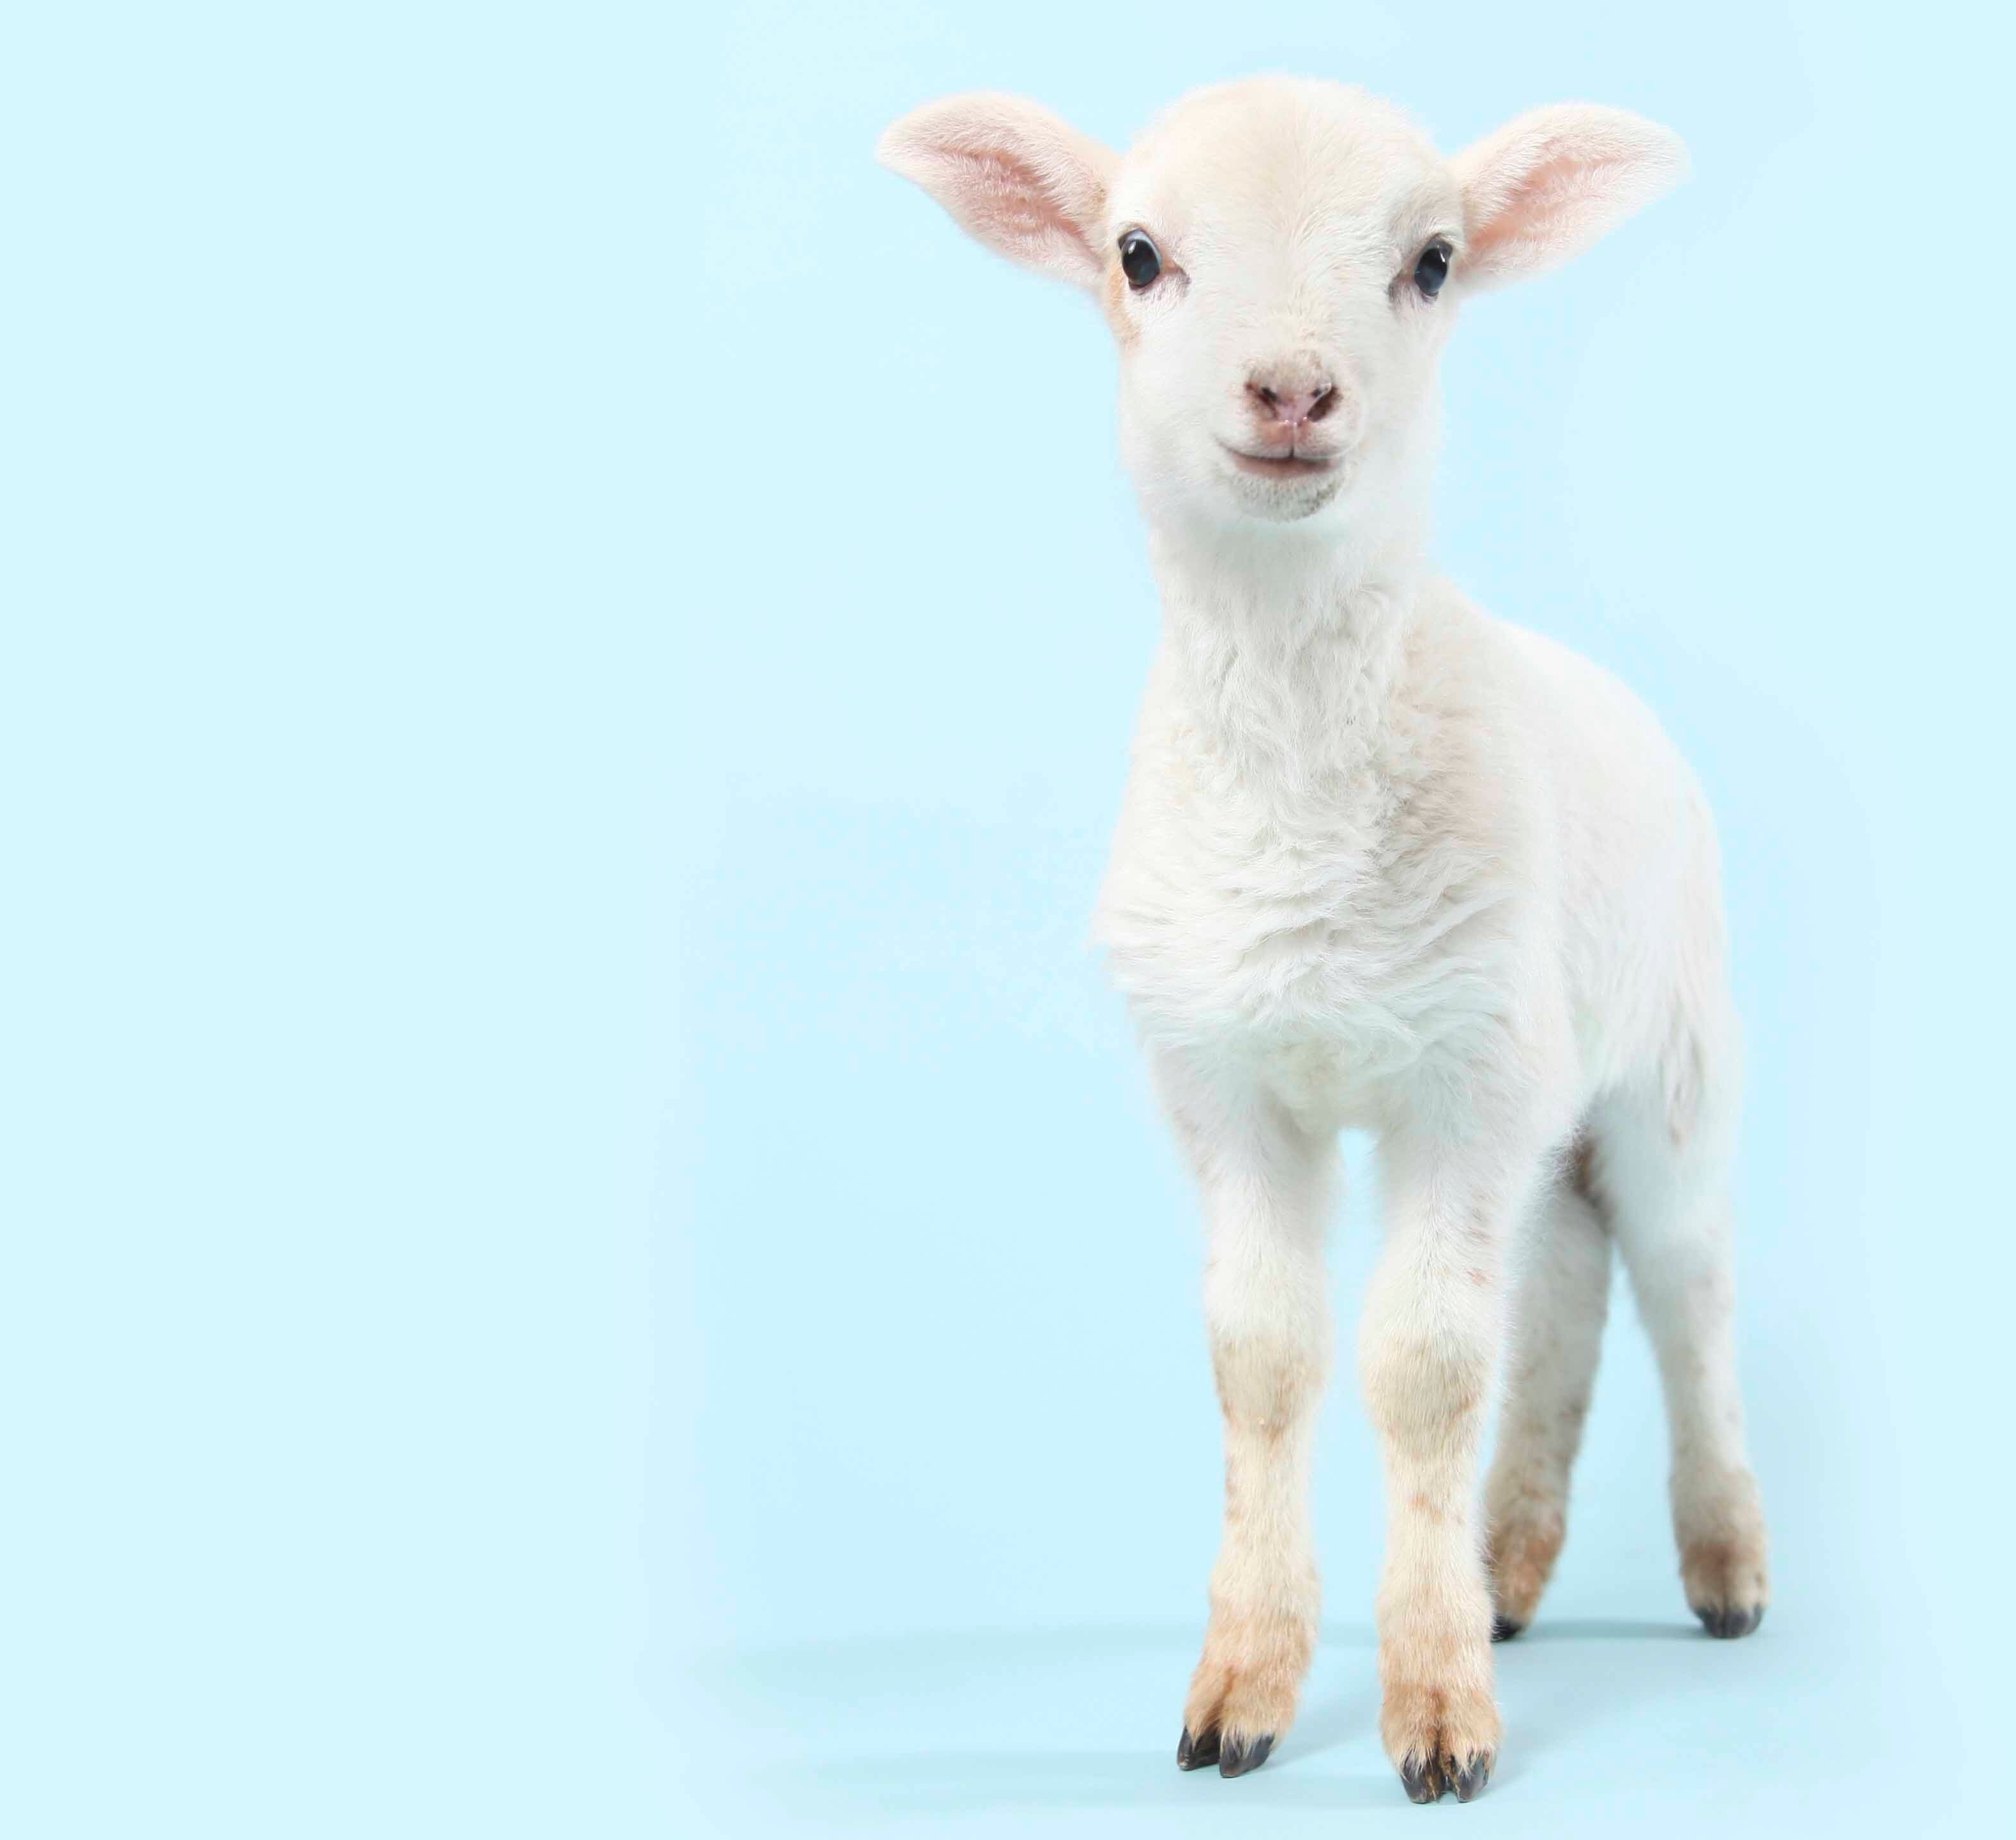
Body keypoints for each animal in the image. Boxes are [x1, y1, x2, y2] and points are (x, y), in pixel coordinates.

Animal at [877, 76, 1767, 1804]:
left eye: (1432, 261)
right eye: (1135, 253)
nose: (1291, 389)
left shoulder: (1459, 1080)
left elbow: (1421, 1369)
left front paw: (1433, 1713)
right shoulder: (1227, 1078)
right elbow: (1266, 1358)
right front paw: (1243, 1691)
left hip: (1669, 1050)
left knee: (1685, 1279)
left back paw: (1723, 1569)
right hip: (1544, 1075)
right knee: (1565, 1279)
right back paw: (1510, 1568)